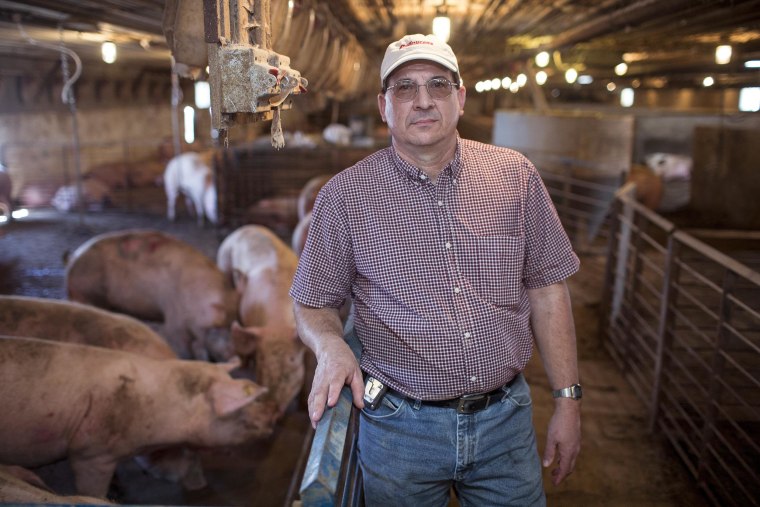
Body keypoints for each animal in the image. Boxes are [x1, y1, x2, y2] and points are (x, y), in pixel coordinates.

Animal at [65, 230, 239, 362]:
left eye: (232, 323)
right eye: (216, 326)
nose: (232, 353)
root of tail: (73, 258)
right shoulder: (174, 318)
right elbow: (182, 345)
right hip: (85, 292)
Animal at [215, 226, 304, 416]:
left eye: (292, 361)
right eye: (262, 361)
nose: (270, 406)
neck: (278, 325)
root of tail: (245, 228)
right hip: (223, 262)